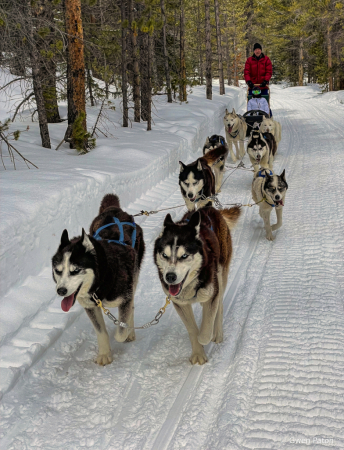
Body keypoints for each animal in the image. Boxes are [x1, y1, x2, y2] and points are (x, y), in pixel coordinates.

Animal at [52, 194, 145, 366]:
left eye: (75, 270)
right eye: (58, 271)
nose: (61, 291)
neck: (100, 283)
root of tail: (113, 210)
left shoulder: (125, 297)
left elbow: (120, 331)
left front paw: (125, 331)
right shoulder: (90, 306)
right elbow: (101, 331)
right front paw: (104, 354)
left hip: (134, 274)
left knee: (131, 305)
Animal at [155, 206, 241, 364]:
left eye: (184, 256)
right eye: (164, 255)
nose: (170, 277)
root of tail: (208, 207)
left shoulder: (212, 294)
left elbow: (205, 333)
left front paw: (204, 337)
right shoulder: (180, 303)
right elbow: (192, 330)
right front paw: (198, 353)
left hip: (220, 275)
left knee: (219, 305)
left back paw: (217, 333)